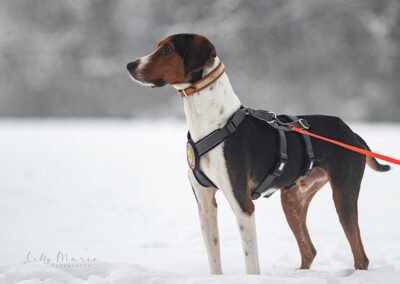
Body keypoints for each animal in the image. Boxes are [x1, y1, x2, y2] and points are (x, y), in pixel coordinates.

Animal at [126, 33, 390, 276]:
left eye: (167, 49)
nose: (130, 65)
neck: (212, 124)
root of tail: (352, 133)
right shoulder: (205, 205)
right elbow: (214, 260)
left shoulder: (243, 205)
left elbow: (251, 263)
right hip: (292, 199)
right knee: (309, 251)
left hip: (343, 195)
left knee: (360, 256)